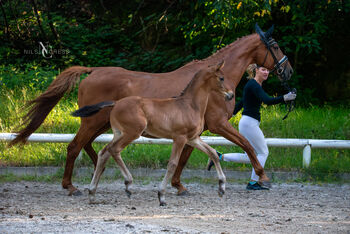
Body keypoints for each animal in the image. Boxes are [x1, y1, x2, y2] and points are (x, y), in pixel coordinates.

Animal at [72, 61, 234, 205]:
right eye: (221, 78)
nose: (231, 95)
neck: (189, 105)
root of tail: (116, 103)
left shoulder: (192, 138)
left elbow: (213, 153)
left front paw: (221, 188)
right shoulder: (180, 138)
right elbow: (172, 164)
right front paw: (161, 196)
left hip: (119, 133)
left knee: (104, 152)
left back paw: (92, 194)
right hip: (132, 133)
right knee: (114, 149)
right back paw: (128, 184)